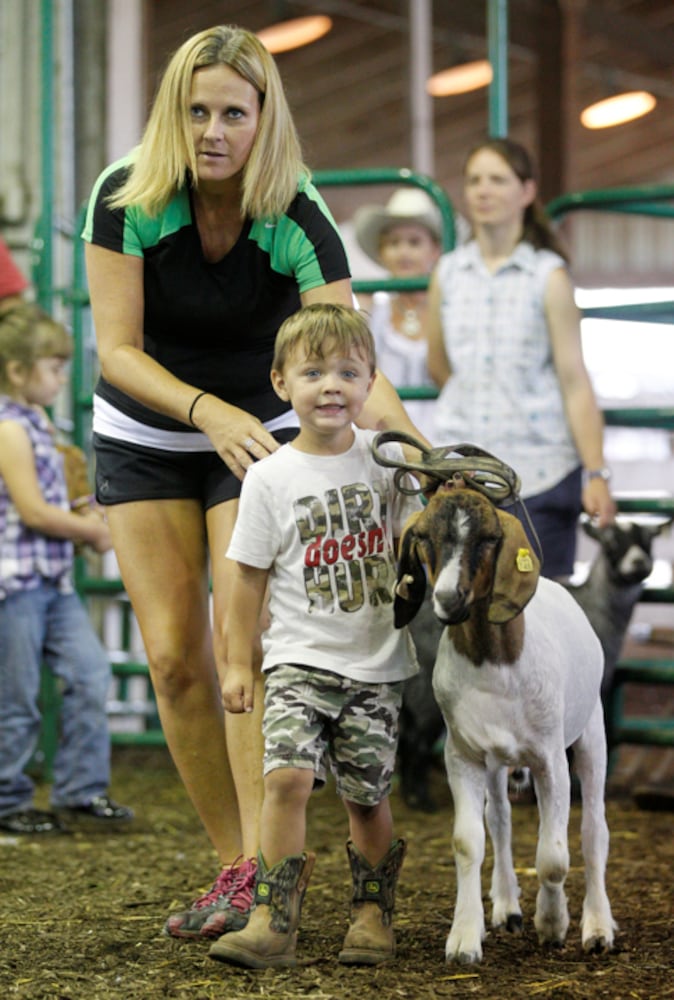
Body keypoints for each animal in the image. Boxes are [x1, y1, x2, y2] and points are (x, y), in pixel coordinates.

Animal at [394, 488, 616, 964]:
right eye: (424, 536)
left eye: (488, 538)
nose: (448, 599)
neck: (493, 658)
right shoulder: (462, 755)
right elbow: (468, 840)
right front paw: (464, 937)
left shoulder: (551, 759)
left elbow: (554, 856)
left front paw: (552, 923)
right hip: (496, 762)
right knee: (499, 818)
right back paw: (508, 906)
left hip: (591, 733)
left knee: (593, 830)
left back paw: (597, 926)